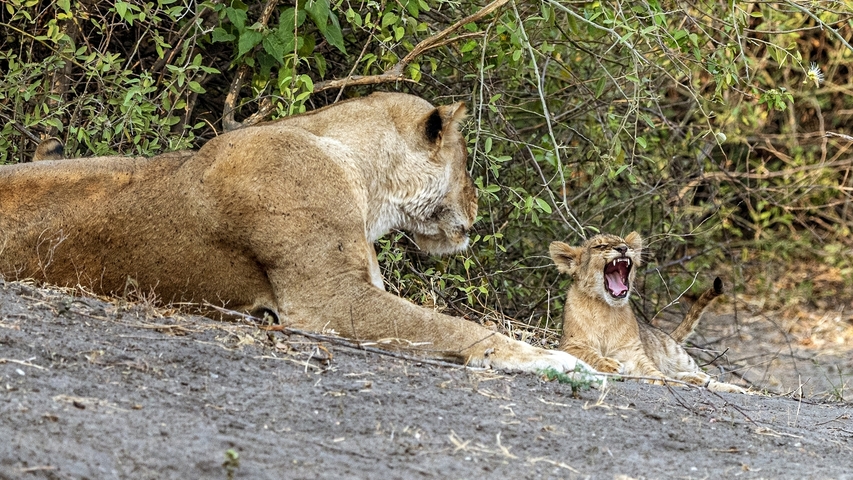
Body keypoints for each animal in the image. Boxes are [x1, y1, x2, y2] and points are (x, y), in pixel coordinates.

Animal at [0, 92, 598, 378]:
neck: (360, 173)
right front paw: (566, 364)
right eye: (468, 164)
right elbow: (457, 327)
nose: (478, 205)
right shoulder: (330, 301)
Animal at [549, 232, 747, 393]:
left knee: (700, 375)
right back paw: (697, 380)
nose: (623, 249)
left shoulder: (633, 354)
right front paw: (608, 363)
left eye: (624, 244)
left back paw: (730, 387)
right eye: (600, 246)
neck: (606, 309)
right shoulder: (569, 345)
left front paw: (670, 383)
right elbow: (588, 354)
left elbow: (655, 373)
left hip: (680, 356)